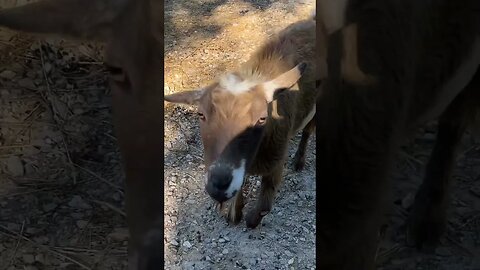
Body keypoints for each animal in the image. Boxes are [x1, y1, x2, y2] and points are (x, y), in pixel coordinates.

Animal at [165, 16, 318, 228]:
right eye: (201, 115)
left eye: (262, 118)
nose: (219, 185)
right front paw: (234, 212)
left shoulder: (275, 164)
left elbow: (263, 208)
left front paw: (249, 220)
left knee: (308, 130)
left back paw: (299, 161)